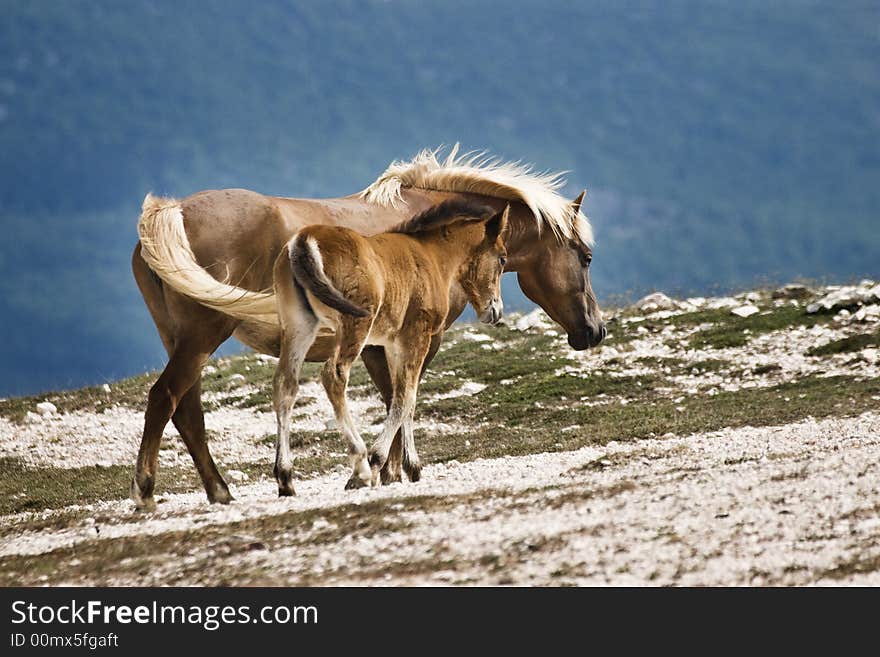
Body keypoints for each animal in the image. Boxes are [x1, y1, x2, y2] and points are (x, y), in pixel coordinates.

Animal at [134, 146, 604, 510]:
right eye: (585, 257)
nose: (594, 331)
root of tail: (173, 211)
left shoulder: (386, 343)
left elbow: (396, 396)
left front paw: (390, 468)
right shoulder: (414, 338)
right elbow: (403, 396)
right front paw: (391, 467)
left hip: (184, 339)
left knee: (190, 410)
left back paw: (226, 490)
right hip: (203, 336)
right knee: (165, 398)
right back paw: (147, 490)